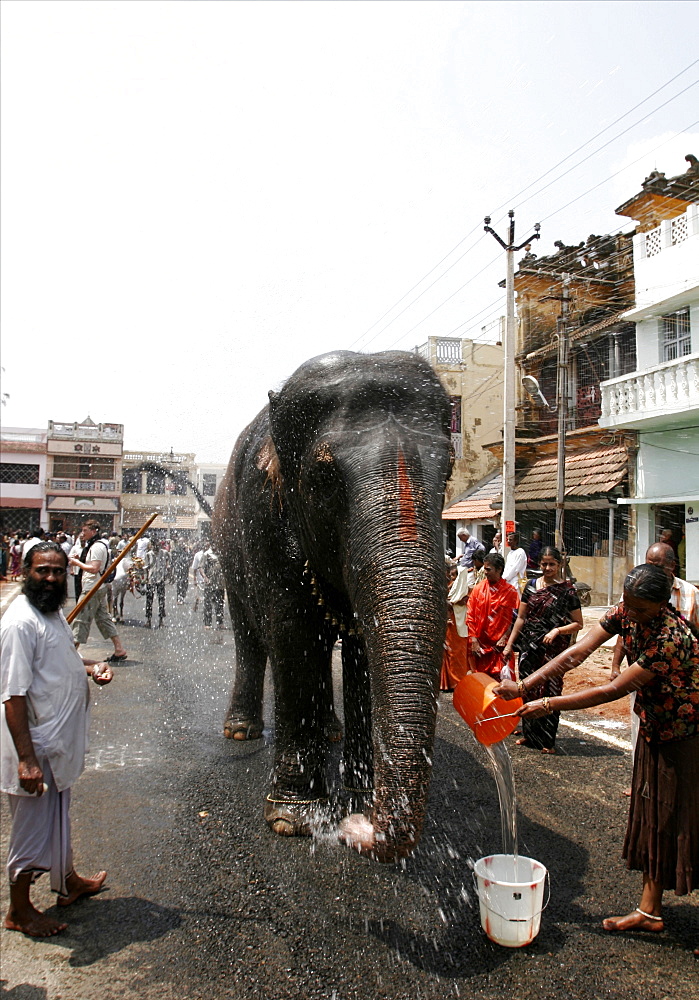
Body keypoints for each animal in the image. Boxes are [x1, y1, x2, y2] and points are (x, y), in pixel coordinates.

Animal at [213, 350, 454, 860]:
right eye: (323, 479)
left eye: (447, 472)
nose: (358, 829)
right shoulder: (263, 513)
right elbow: (291, 631)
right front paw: (295, 819)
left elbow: (362, 646)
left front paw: (360, 794)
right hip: (227, 554)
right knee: (251, 635)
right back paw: (241, 731)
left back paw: (330, 730)